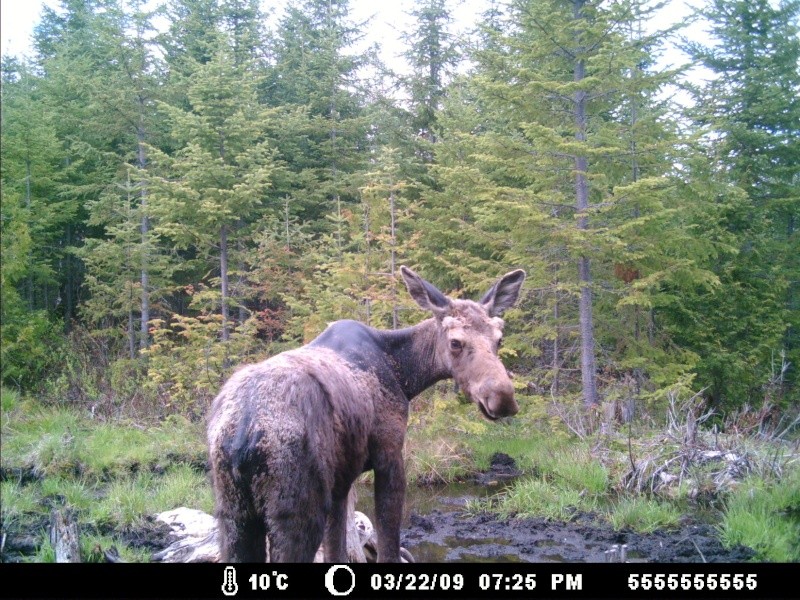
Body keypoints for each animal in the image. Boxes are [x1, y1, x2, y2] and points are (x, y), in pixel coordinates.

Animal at [208, 268, 524, 564]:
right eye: (455, 342)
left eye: (499, 338)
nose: (503, 397)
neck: (406, 376)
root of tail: (242, 433)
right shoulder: (389, 454)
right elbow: (388, 545)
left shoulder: (340, 482)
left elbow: (338, 548)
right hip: (295, 510)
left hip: (233, 514)